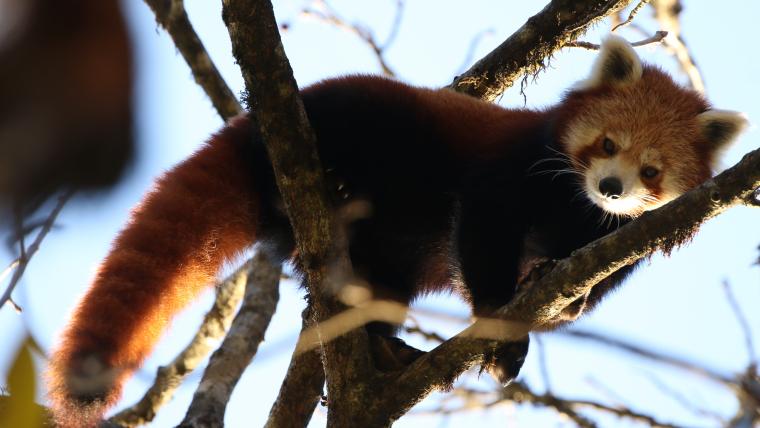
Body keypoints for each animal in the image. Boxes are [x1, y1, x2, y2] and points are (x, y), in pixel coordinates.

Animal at [47, 36, 748, 424]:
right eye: (607, 144)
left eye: (650, 171)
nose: (610, 188)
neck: (573, 207)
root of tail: (249, 132)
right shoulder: (509, 168)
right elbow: (483, 232)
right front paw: (497, 319)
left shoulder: (612, 240)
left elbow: (581, 287)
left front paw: (556, 295)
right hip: (364, 120)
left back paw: (383, 345)